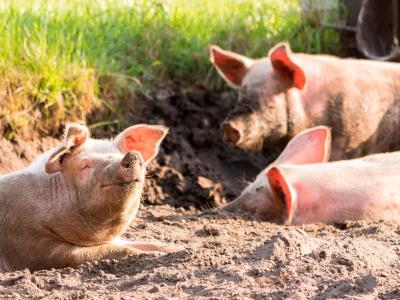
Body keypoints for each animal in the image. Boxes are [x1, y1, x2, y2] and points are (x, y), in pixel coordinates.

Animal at [0, 122, 178, 272]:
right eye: (85, 165)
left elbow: (152, 244)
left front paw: (177, 249)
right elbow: (114, 250)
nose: (132, 155)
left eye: (118, 154)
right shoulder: (32, 246)